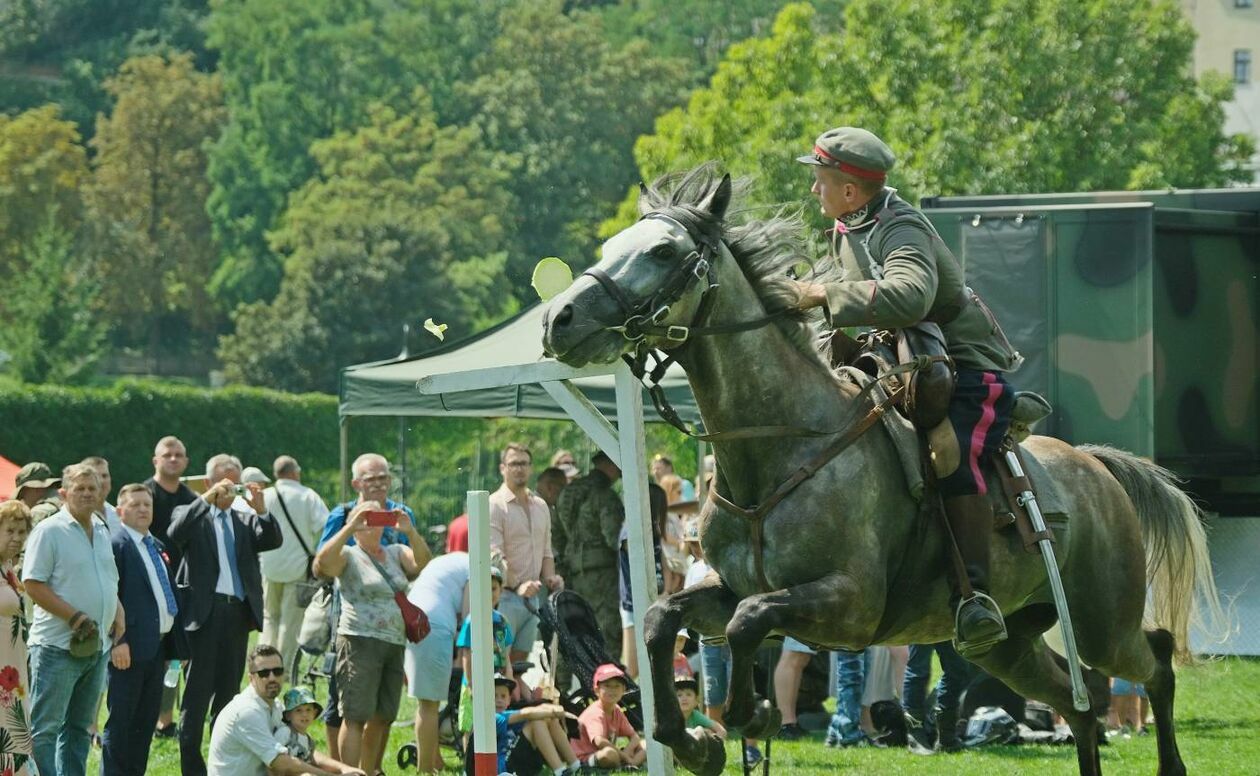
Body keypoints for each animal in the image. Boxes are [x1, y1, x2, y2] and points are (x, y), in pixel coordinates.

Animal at [539, 166, 1219, 770]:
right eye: (611, 248)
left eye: (660, 251)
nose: (557, 319)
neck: (780, 451)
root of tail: (1097, 470)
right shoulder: (728, 587)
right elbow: (662, 621)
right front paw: (696, 743)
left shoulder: (852, 605)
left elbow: (746, 623)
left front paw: (751, 715)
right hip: (1011, 645)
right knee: (1076, 706)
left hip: (1102, 626)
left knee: (1155, 661)